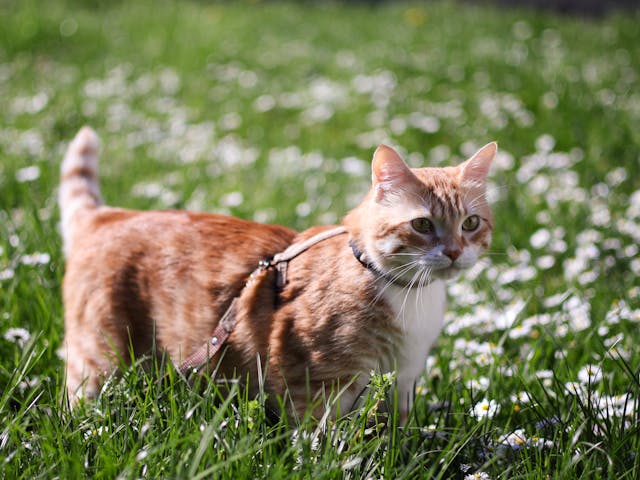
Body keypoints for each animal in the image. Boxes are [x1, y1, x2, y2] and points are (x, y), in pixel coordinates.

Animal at [58, 125, 496, 422]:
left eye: (471, 223)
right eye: (422, 225)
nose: (455, 252)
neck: (407, 292)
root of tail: (108, 215)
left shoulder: (402, 381)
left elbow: (395, 435)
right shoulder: (314, 383)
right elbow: (320, 441)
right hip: (100, 357)